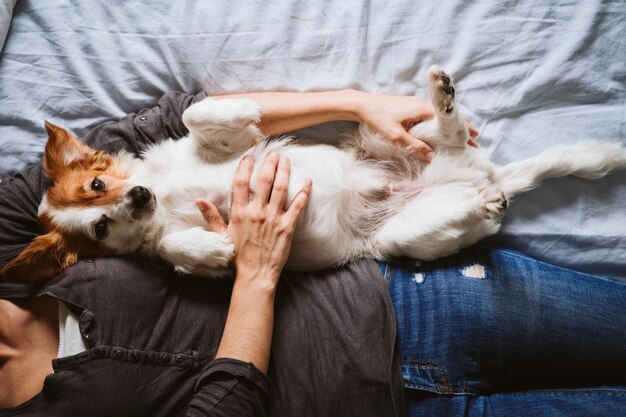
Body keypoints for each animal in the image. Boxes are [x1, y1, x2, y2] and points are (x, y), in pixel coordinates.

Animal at [4, 66, 624, 282]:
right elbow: (173, 247)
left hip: (386, 134)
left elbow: (199, 115)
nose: (135, 197)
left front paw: (240, 109)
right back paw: (481, 203)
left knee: (444, 131)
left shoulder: (221, 146)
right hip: (402, 238)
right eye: (99, 228)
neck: (166, 190)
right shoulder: (163, 237)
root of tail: (477, 176)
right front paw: (210, 251)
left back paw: (442, 97)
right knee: (459, 215)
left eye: (97, 185)